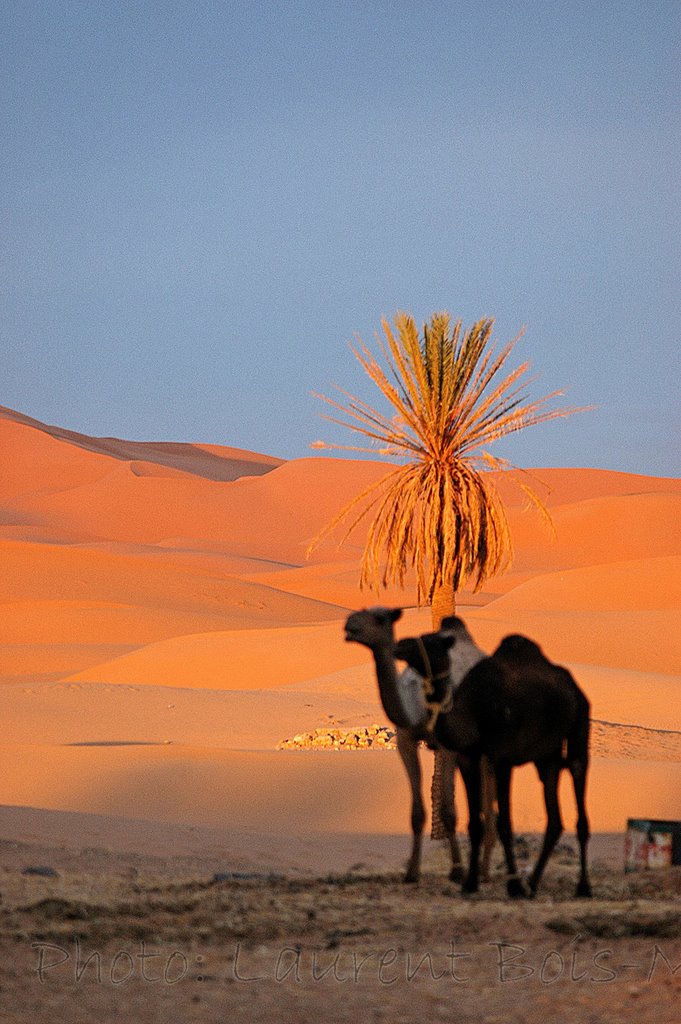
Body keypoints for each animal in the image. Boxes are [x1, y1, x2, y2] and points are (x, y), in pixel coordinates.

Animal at [346, 602, 493, 884]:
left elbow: (448, 810)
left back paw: (484, 870)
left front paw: (457, 870)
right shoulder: (405, 739)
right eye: (360, 611)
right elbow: (416, 813)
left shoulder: (448, 746)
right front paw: (412, 872)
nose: (349, 625)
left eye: (380, 617)